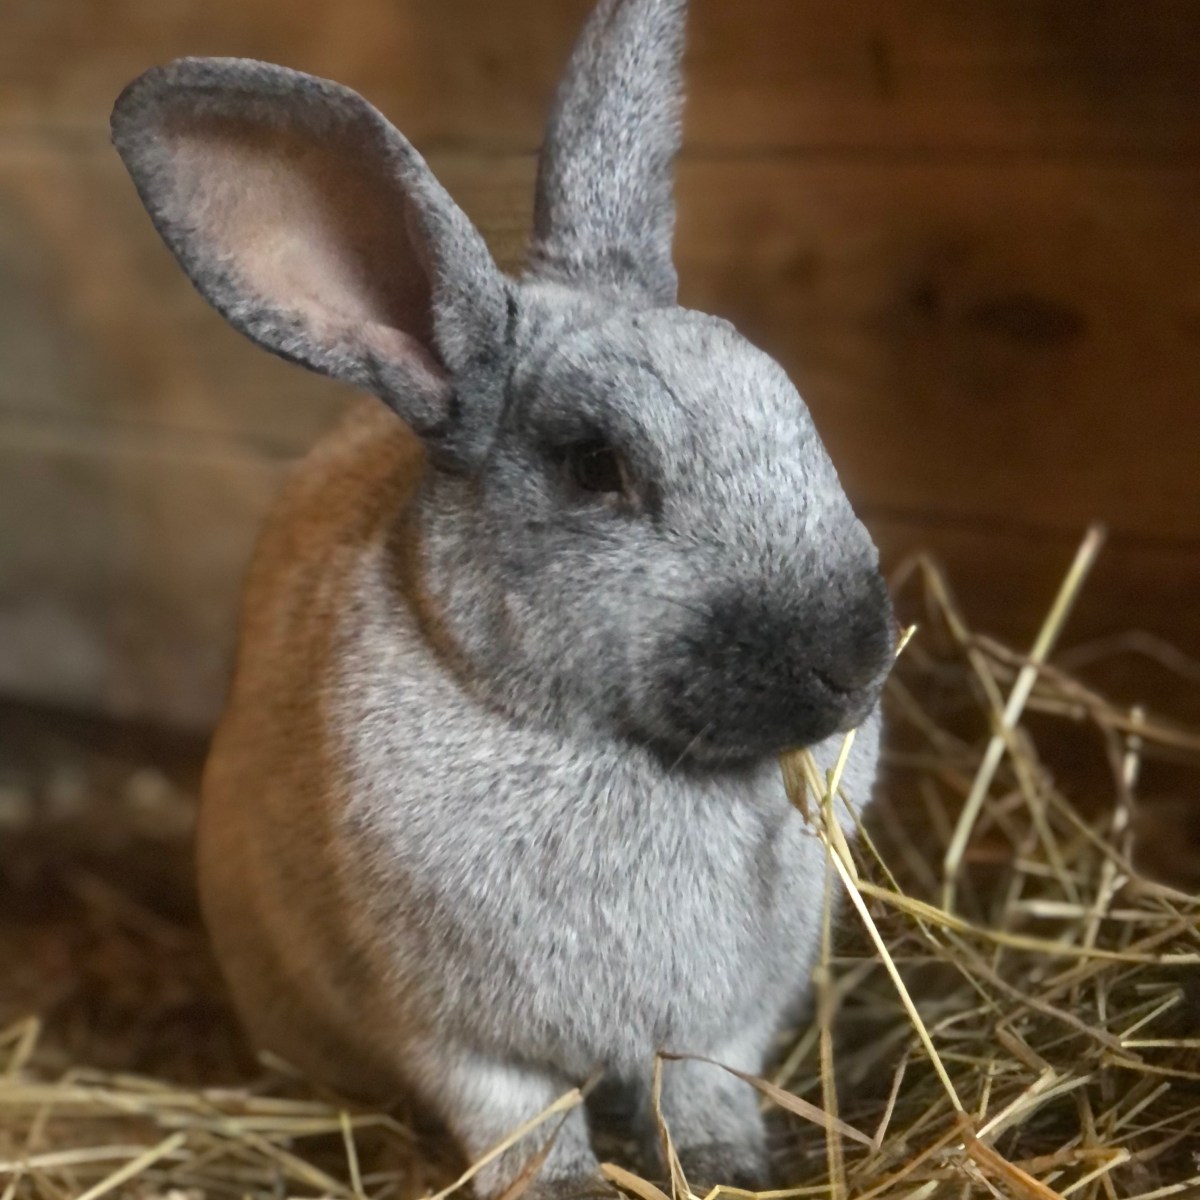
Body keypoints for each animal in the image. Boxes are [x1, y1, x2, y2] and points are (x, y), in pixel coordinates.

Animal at [110, 0, 896, 1194]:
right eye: (594, 465)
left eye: (787, 398)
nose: (859, 655)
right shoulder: (463, 1044)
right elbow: (524, 1125)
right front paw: (571, 1184)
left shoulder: (721, 1027)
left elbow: (701, 1093)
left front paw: (729, 1167)